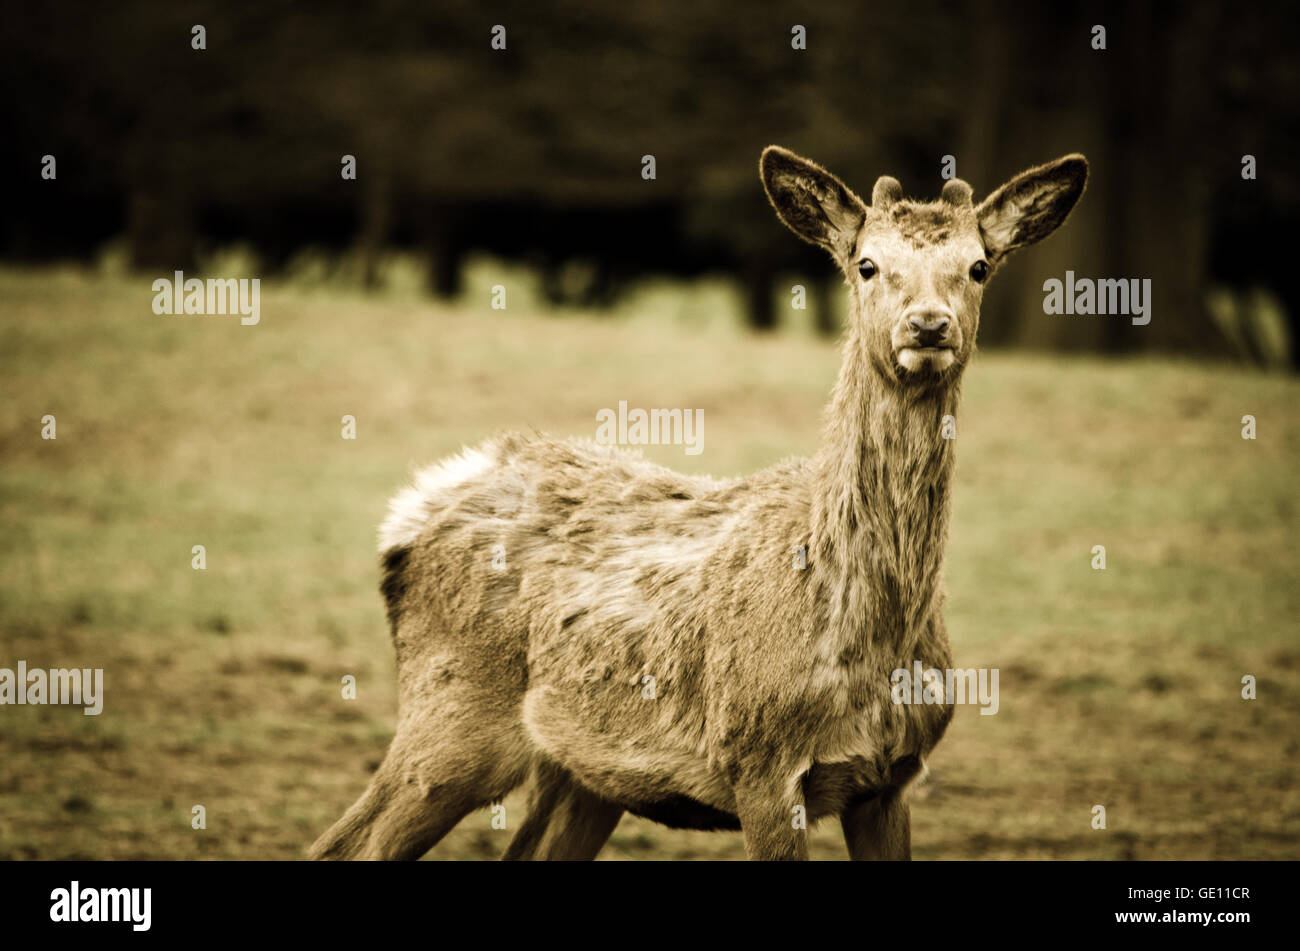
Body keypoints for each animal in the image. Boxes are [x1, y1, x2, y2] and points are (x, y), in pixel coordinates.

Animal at [308, 146, 1088, 861]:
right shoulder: (760, 763)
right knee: (345, 844)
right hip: (454, 714)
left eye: (978, 266)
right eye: (866, 264)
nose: (928, 325)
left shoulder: (891, 779)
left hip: (578, 771)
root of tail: (415, 505)